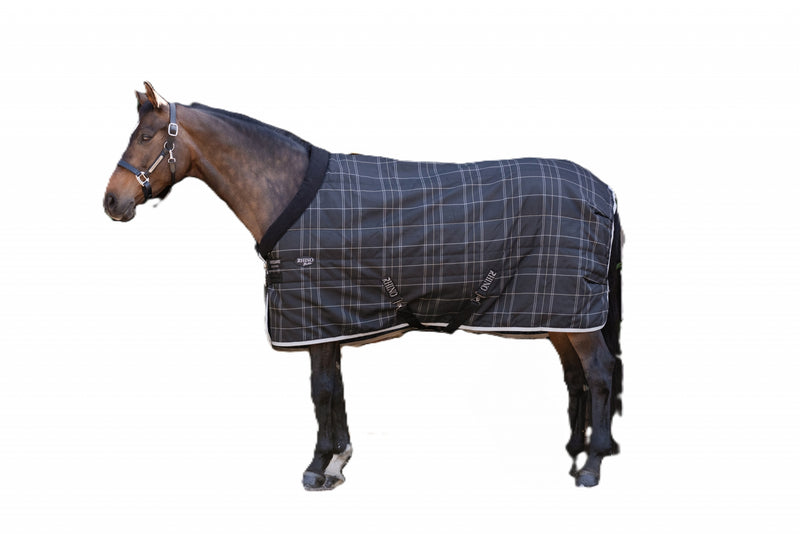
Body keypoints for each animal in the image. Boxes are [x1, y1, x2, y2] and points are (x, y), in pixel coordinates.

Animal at [104, 82, 623, 489]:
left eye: (146, 137)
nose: (111, 201)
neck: (288, 192)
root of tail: (604, 192)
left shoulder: (315, 317)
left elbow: (321, 391)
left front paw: (319, 467)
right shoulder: (331, 319)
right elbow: (333, 389)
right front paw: (339, 459)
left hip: (574, 315)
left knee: (599, 373)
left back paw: (592, 464)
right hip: (559, 317)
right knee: (576, 376)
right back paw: (575, 451)